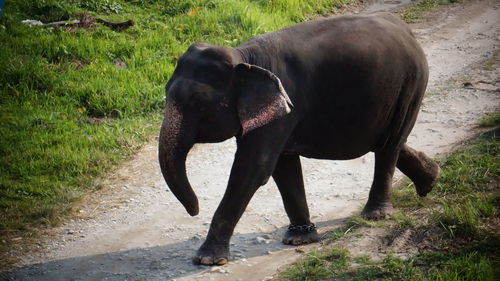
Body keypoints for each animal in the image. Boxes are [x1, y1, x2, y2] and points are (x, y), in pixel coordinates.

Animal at [158, 11, 440, 264]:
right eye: (166, 92)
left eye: (198, 102)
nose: (195, 211)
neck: (243, 58)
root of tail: (405, 30)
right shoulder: (277, 113)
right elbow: (282, 166)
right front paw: (299, 239)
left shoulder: (284, 108)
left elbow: (254, 168)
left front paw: (207, 259)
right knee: (386, 141)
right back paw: (431, 179)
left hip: (410, 85)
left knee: (389, 144)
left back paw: (376, 215)